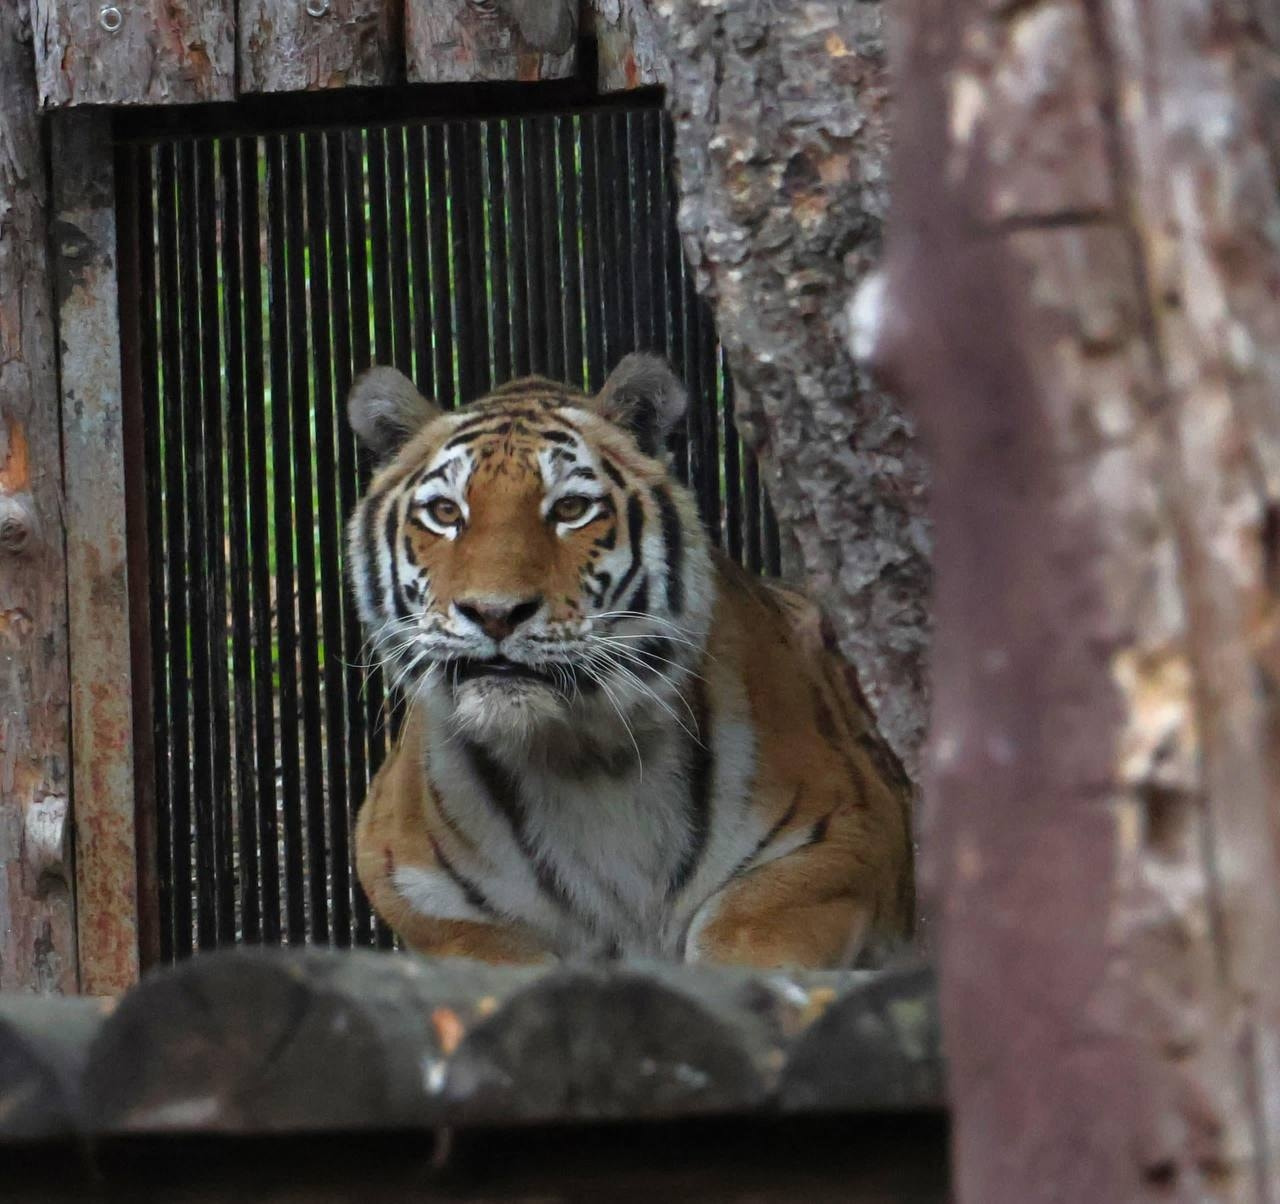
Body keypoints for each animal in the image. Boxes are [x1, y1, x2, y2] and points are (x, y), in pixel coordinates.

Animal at [345, 353, 916, 962]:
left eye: (571, 508)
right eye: (445, 512)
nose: (495, 613)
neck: (581, 760)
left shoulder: (840, 836)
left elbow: (743, 931)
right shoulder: (416, 887)